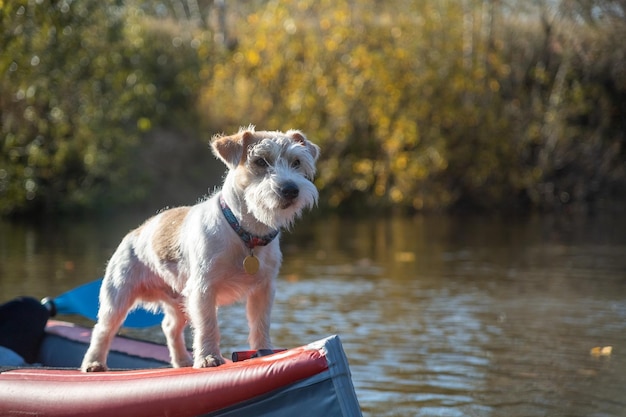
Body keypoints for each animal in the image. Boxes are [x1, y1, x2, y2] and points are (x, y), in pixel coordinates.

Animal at [80, 127, 320, 370]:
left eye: (297, 162)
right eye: (260, 161)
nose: (290, 189)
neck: (244, 233)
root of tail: (135, 232)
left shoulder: (263, 290)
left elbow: (260, 324)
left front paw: (265, 353)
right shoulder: (203, 290)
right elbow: (207, 324)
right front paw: (208, 357)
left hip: (179, 302)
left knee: (170, 327)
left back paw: (182, 361)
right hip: (118, 297)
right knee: (103, 330)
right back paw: (94, 363)